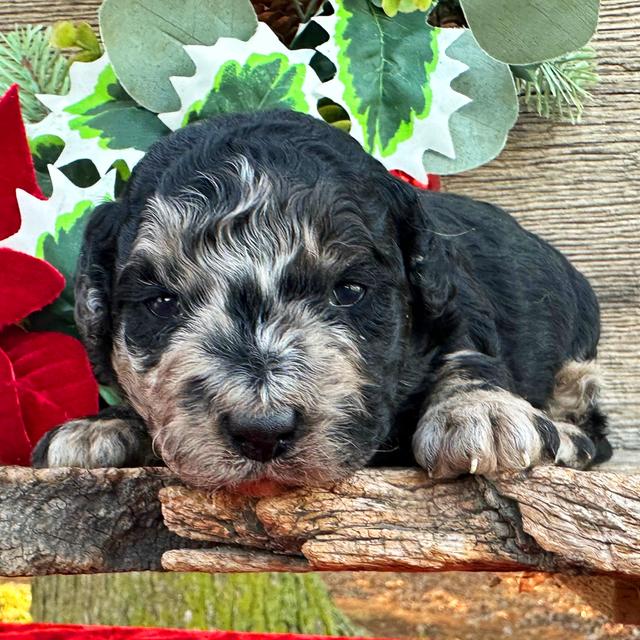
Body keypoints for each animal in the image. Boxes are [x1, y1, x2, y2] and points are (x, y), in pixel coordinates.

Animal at [32, 110, 612, 492]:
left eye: (349, 292)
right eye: (162, 303)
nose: (261, 432)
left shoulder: (455, 299)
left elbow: (467, 353)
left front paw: (479, 411)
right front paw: (101, 426)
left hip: (578, 359)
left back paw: (566, 437)